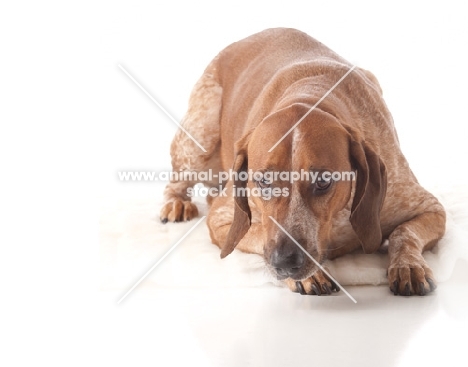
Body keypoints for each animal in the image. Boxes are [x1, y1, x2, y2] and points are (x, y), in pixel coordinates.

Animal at [159, 28, 444, 296]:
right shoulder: (222, 220)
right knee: (177, 181)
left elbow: (403, 233)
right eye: (264, 181)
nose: (285, 262)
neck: (310, 96)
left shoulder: (430, 208)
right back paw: (176, 203)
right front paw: (311, 275)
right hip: (198, 137)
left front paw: (408, 265)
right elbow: (258, 232)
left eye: (323, 182)